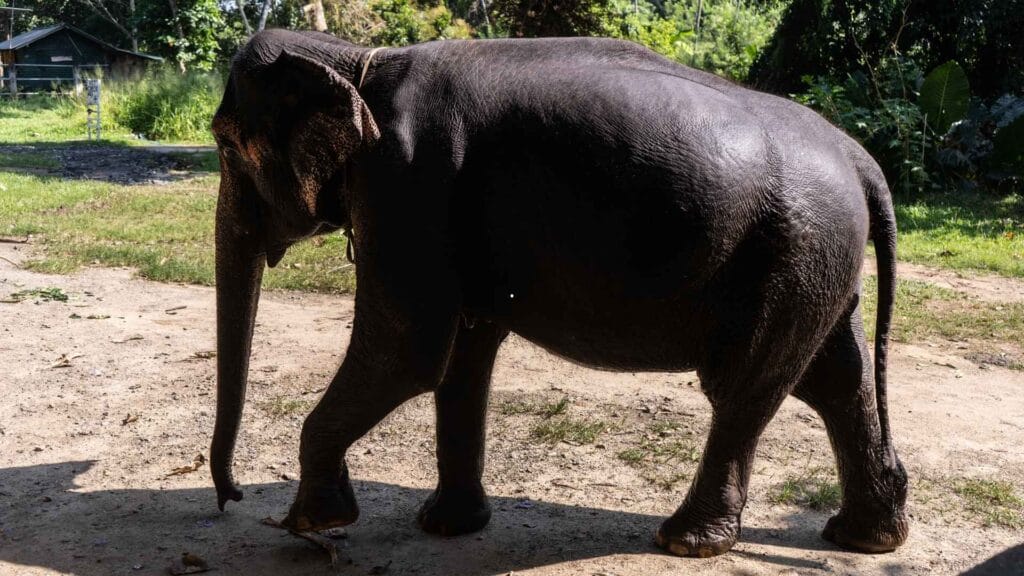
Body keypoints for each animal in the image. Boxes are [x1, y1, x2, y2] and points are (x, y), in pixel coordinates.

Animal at [209, 28, 909, 558]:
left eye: (225, 142)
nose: (232, 498)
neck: (356, 61)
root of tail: (861, 159)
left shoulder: (408, 182)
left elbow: (409, 351)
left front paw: (310, 523)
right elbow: (461, 358)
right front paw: (445, 527)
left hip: (795, 248)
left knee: (744, 387)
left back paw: (685, 543)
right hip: (815, 257)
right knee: (836, 380)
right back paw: (866, 536)